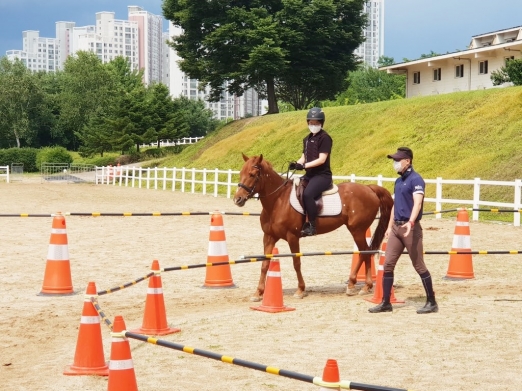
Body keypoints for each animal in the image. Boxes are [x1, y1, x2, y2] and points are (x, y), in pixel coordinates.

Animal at [232, 155, 390, 302]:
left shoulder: (292, 237)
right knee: (367, 252)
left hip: (357, 230)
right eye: (241, 173)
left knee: (364, 252)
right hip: (358, 230)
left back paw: (355, 285)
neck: (278, 200)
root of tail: (369, 188)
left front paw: (300, 290)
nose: (237, 199)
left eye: (252, 174)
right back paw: (365, 286)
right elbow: (265, 264)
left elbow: (296, 263)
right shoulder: (269, 237)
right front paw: (258, 293)